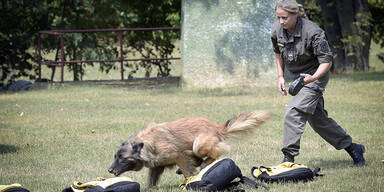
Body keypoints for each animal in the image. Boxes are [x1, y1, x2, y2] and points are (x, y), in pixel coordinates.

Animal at [108, 110, 270, 188]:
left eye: (122, 158)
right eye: (116, 156)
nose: (109, 170)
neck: (146, 144)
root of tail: (217, 127)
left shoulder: (179, 155)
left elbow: (187, 171)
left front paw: (189, 181)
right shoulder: (157, 166)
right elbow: (151, 180)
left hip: (198, 144)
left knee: (215, 153)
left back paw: (205, 163)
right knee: (200, 159)